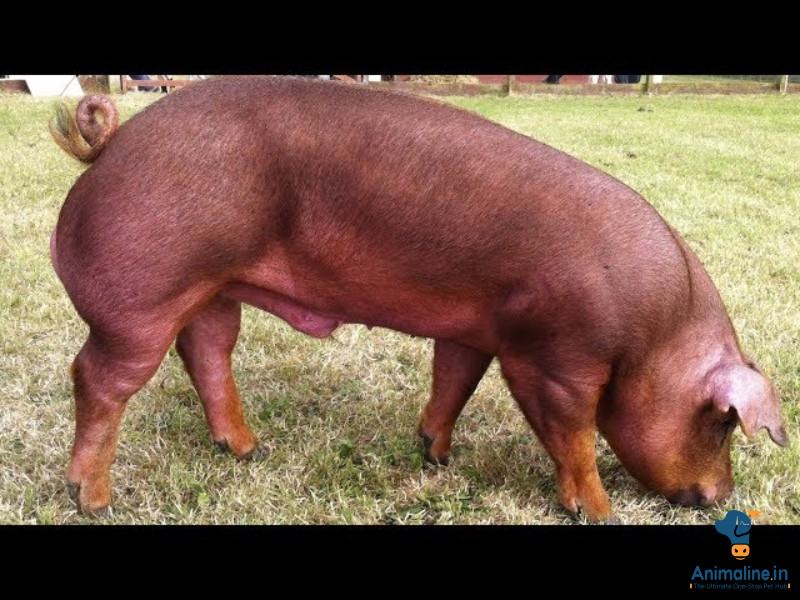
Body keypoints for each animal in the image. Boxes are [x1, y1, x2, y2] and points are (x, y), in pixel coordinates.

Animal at [49, 76, 788, 521]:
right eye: (722, 422)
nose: (722, 500)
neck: (655, 337)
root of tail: (113, 141)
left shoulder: (473, 328)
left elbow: (453, 381)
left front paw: (435, 454)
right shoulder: (554, 359)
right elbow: (573, 434)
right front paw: (599, 513)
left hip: (210, 288)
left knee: (206, 351)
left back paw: (248, 450)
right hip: (141, 296)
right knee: (98, 378)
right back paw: (95, 501)